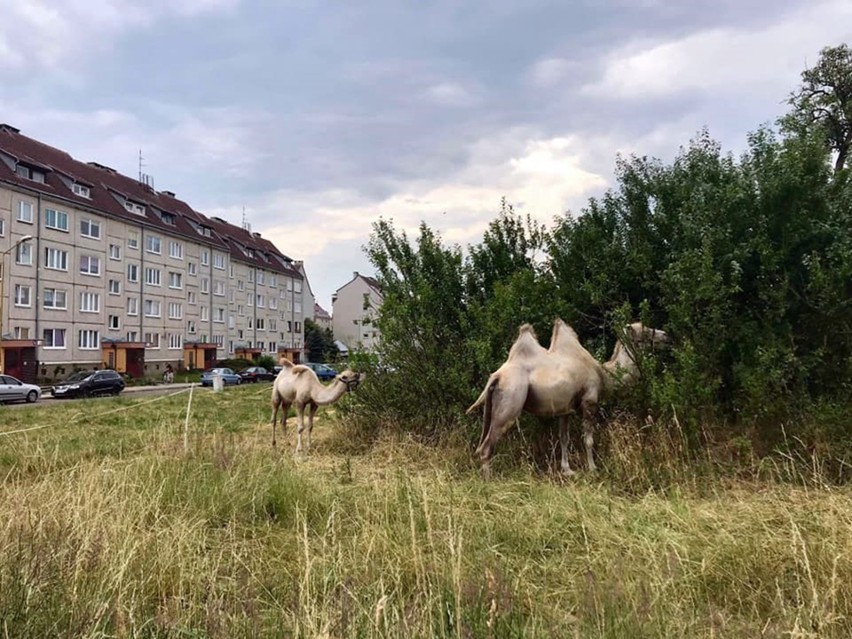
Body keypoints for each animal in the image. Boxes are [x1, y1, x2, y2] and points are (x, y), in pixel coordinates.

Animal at [470, 318, 668, 476]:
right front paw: (593, 469)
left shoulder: (565, 409)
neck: (604, 373)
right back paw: (489, 481)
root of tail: (496, 377)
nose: (665, 335)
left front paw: (567, 470)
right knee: (486, 447)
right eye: (645, 329)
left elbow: (564, 438)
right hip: (510, 401)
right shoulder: (590, 399)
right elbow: (588, 439)